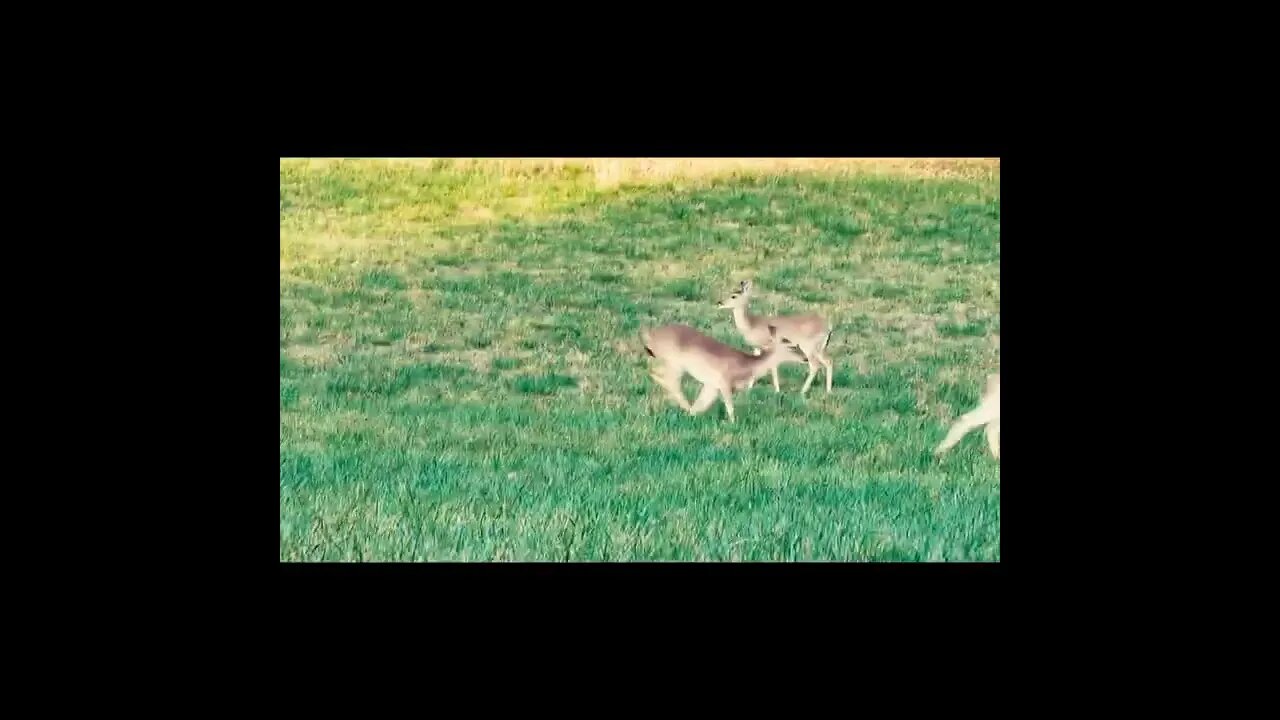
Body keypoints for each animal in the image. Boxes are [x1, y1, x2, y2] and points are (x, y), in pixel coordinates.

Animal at [641, 323, 805, 423]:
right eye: (791, 346)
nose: (805, 358)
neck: (747, 366)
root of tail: (650, 335)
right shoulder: (724, 382)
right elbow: (730, 407)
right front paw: (733, 424)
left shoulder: (712, 385)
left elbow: (701, 404)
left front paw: (691, 417)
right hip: (675, 363)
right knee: (667, 379)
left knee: (656, 374)